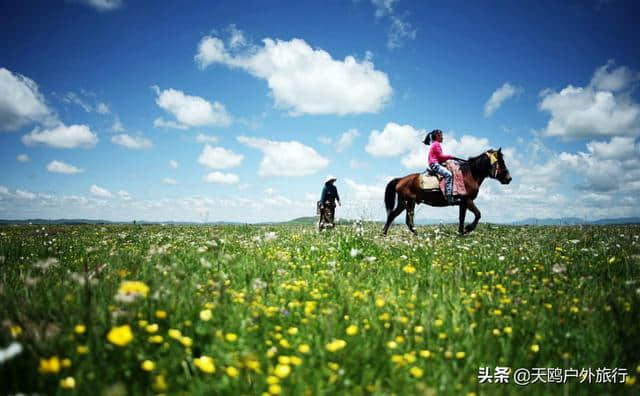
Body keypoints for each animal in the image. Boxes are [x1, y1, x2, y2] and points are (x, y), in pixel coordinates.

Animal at [382, 148, 512, 235]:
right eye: (501, 162)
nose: (509, 178)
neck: (469, 175)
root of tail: (400, 180)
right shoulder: (467, 200)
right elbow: (478, 214)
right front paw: (468, 229)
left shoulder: (463, 203)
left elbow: (462, 218)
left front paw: (461, 233)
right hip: (409, 202)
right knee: (408, 220)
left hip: (404, 203)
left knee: (393, 215)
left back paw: (384, 233)